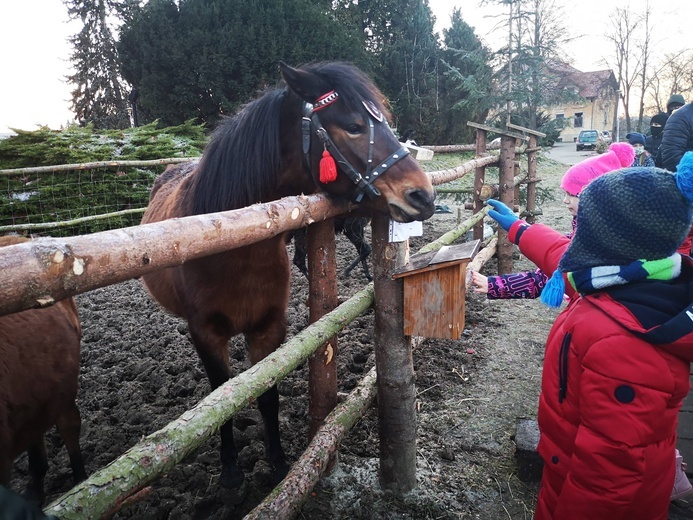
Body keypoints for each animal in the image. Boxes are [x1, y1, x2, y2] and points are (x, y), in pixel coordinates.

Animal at [139, 61, 432, 504]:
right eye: (354, 125)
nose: (423, 195)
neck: (230, 240)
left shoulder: (269, 327)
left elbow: (267, 396)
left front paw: (277, 465)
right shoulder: (206, 334)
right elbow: (220, 400)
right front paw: (231, 473)